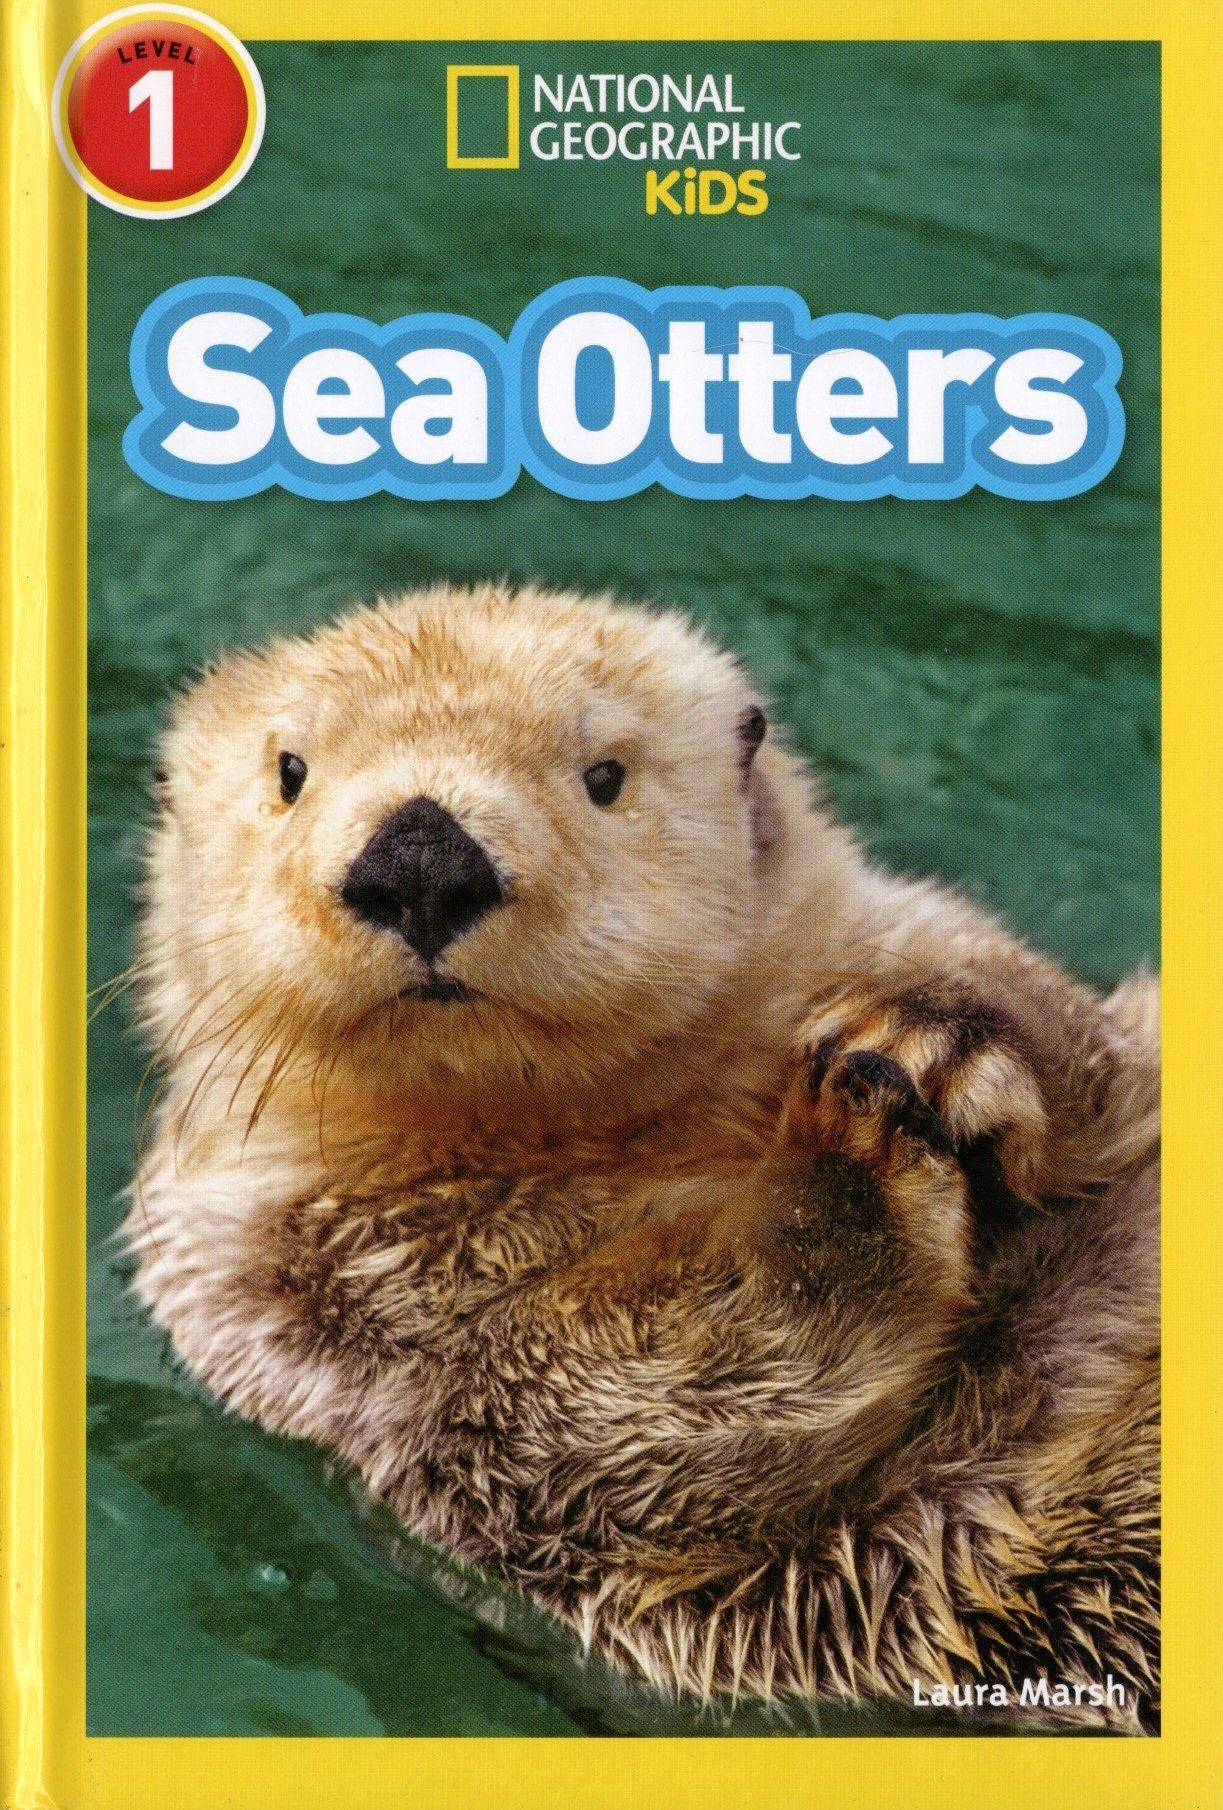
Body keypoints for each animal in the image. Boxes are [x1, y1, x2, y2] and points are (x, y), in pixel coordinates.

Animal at [125, 584, 1159, 1731]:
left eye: (604, 774)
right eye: (290, 771)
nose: (420, 858)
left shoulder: (913, 941)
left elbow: (1101, 1060)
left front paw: (938, 1036)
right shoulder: (300, 1306)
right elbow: (615, 1400)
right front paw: (844, 1150)